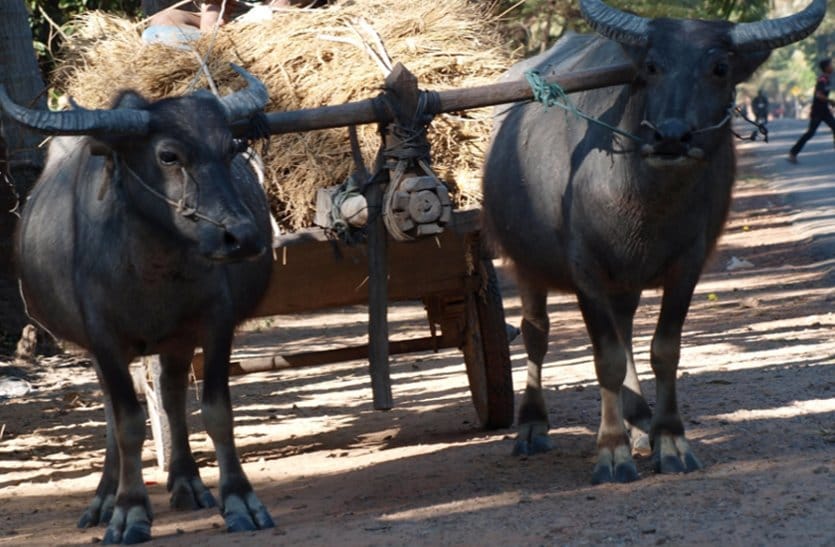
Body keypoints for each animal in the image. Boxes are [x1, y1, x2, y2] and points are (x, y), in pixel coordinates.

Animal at [0, 65, 275, 543]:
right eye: (168, 156)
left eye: (231, 149)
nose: (243, 237)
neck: (152, 267)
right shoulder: (104, 339)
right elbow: (127, 423)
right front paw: (128, 510)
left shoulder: (215, 324)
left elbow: (217, 410)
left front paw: (241, 499)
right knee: (114, 412)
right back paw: (104, 499)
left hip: (176, 342)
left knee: (170, 395)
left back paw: (186, 482)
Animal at [482, 0, 825, 484]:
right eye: (650, 66)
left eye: (720, 67)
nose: (671, 137)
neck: (645, 201)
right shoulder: (585, 269)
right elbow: (604, 358)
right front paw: (611, 451)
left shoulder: (688, 265)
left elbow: (665, 350)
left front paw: (669, 440)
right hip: (525, 263)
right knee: (536, 334)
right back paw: (533, 426)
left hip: (623, 282)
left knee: (625, 329)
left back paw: (639, 418)